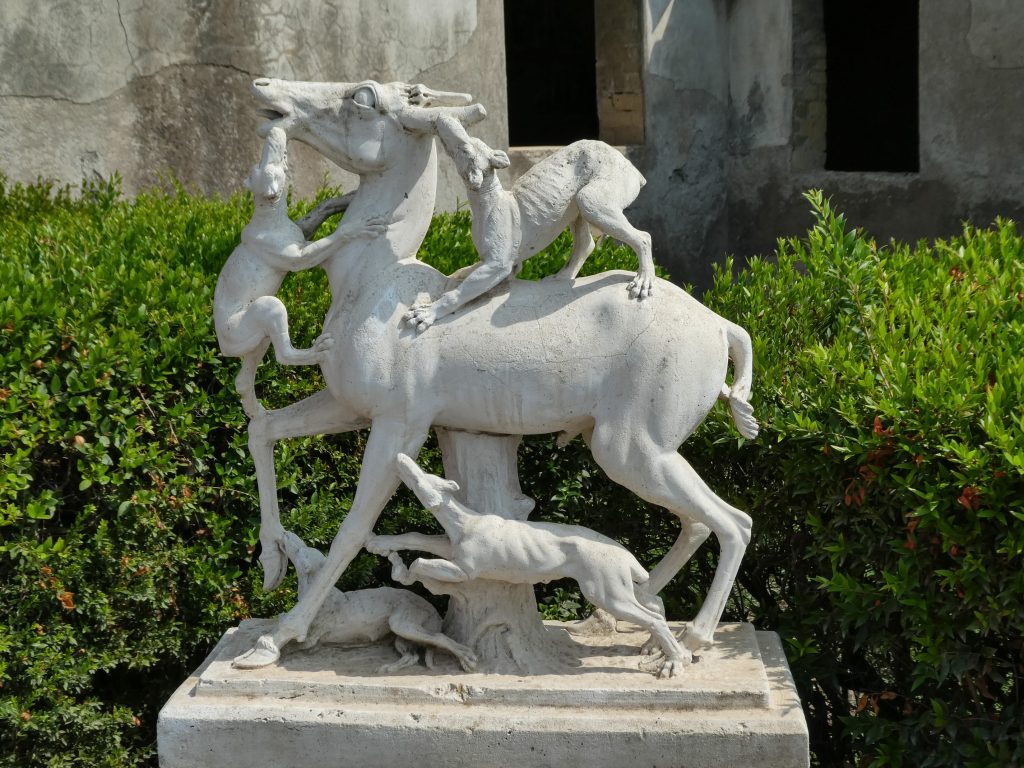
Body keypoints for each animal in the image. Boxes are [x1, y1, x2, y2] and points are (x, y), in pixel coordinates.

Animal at [274, 528, 477, 671]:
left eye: (300, 550)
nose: (285, 533)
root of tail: (434, 611)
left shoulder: (311, 639)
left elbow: (289, 644)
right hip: (401, 636)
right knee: (412, 656)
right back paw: (389, 668)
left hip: (402, 624)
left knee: (440, 638)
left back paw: (466, 657)